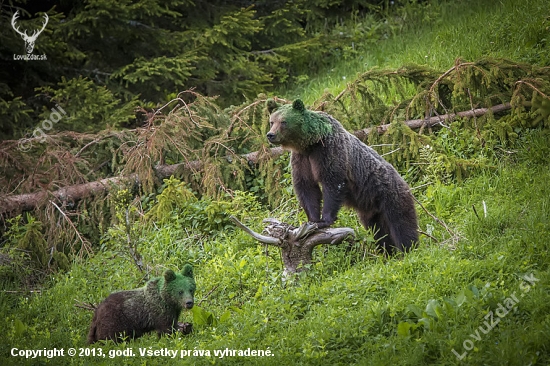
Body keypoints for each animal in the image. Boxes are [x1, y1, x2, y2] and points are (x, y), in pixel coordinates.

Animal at [268, 100, 418, 254]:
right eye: (271, 121)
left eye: (283, 122)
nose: (270, 135)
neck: (311, 143)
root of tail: (403, 181)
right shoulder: (302, 159)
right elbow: (306, 187)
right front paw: (312, 220)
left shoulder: (329, 150)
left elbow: (333, 183)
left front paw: (325, 220)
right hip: (371, 210)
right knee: (379, 231)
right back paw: (387, 251)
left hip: (390, 195)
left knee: (402, 225)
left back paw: (408, 249)